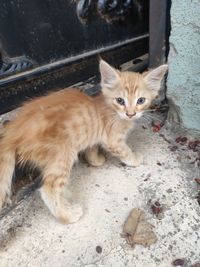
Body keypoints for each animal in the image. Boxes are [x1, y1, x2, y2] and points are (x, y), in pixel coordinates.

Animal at [0, 60, 166, 224]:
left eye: (141, 100)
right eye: (120, 100)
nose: (130, 114)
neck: (111, 110)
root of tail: (13, 131)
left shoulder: (93, 134)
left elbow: (91, 149)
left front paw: (96, 160)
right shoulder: (113, 140)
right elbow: (125, 151)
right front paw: (135, 159)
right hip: (63, 154)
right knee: (49, 189)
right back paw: (68, 214)